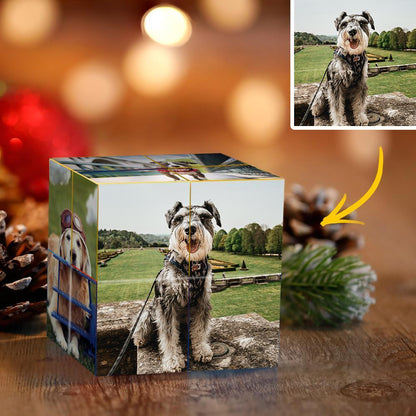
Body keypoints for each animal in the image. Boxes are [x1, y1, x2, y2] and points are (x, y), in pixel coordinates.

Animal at [134, 200, 223, 372]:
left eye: (204, 217)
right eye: (179, 218)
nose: (189, 229)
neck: (192, 266)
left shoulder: (202, 300)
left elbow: (201, 328)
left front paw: (201, 350)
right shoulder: (166, 303)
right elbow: (168, 335)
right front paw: (173, 361)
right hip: (149, 312)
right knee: (141, 327)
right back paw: (139, 339)